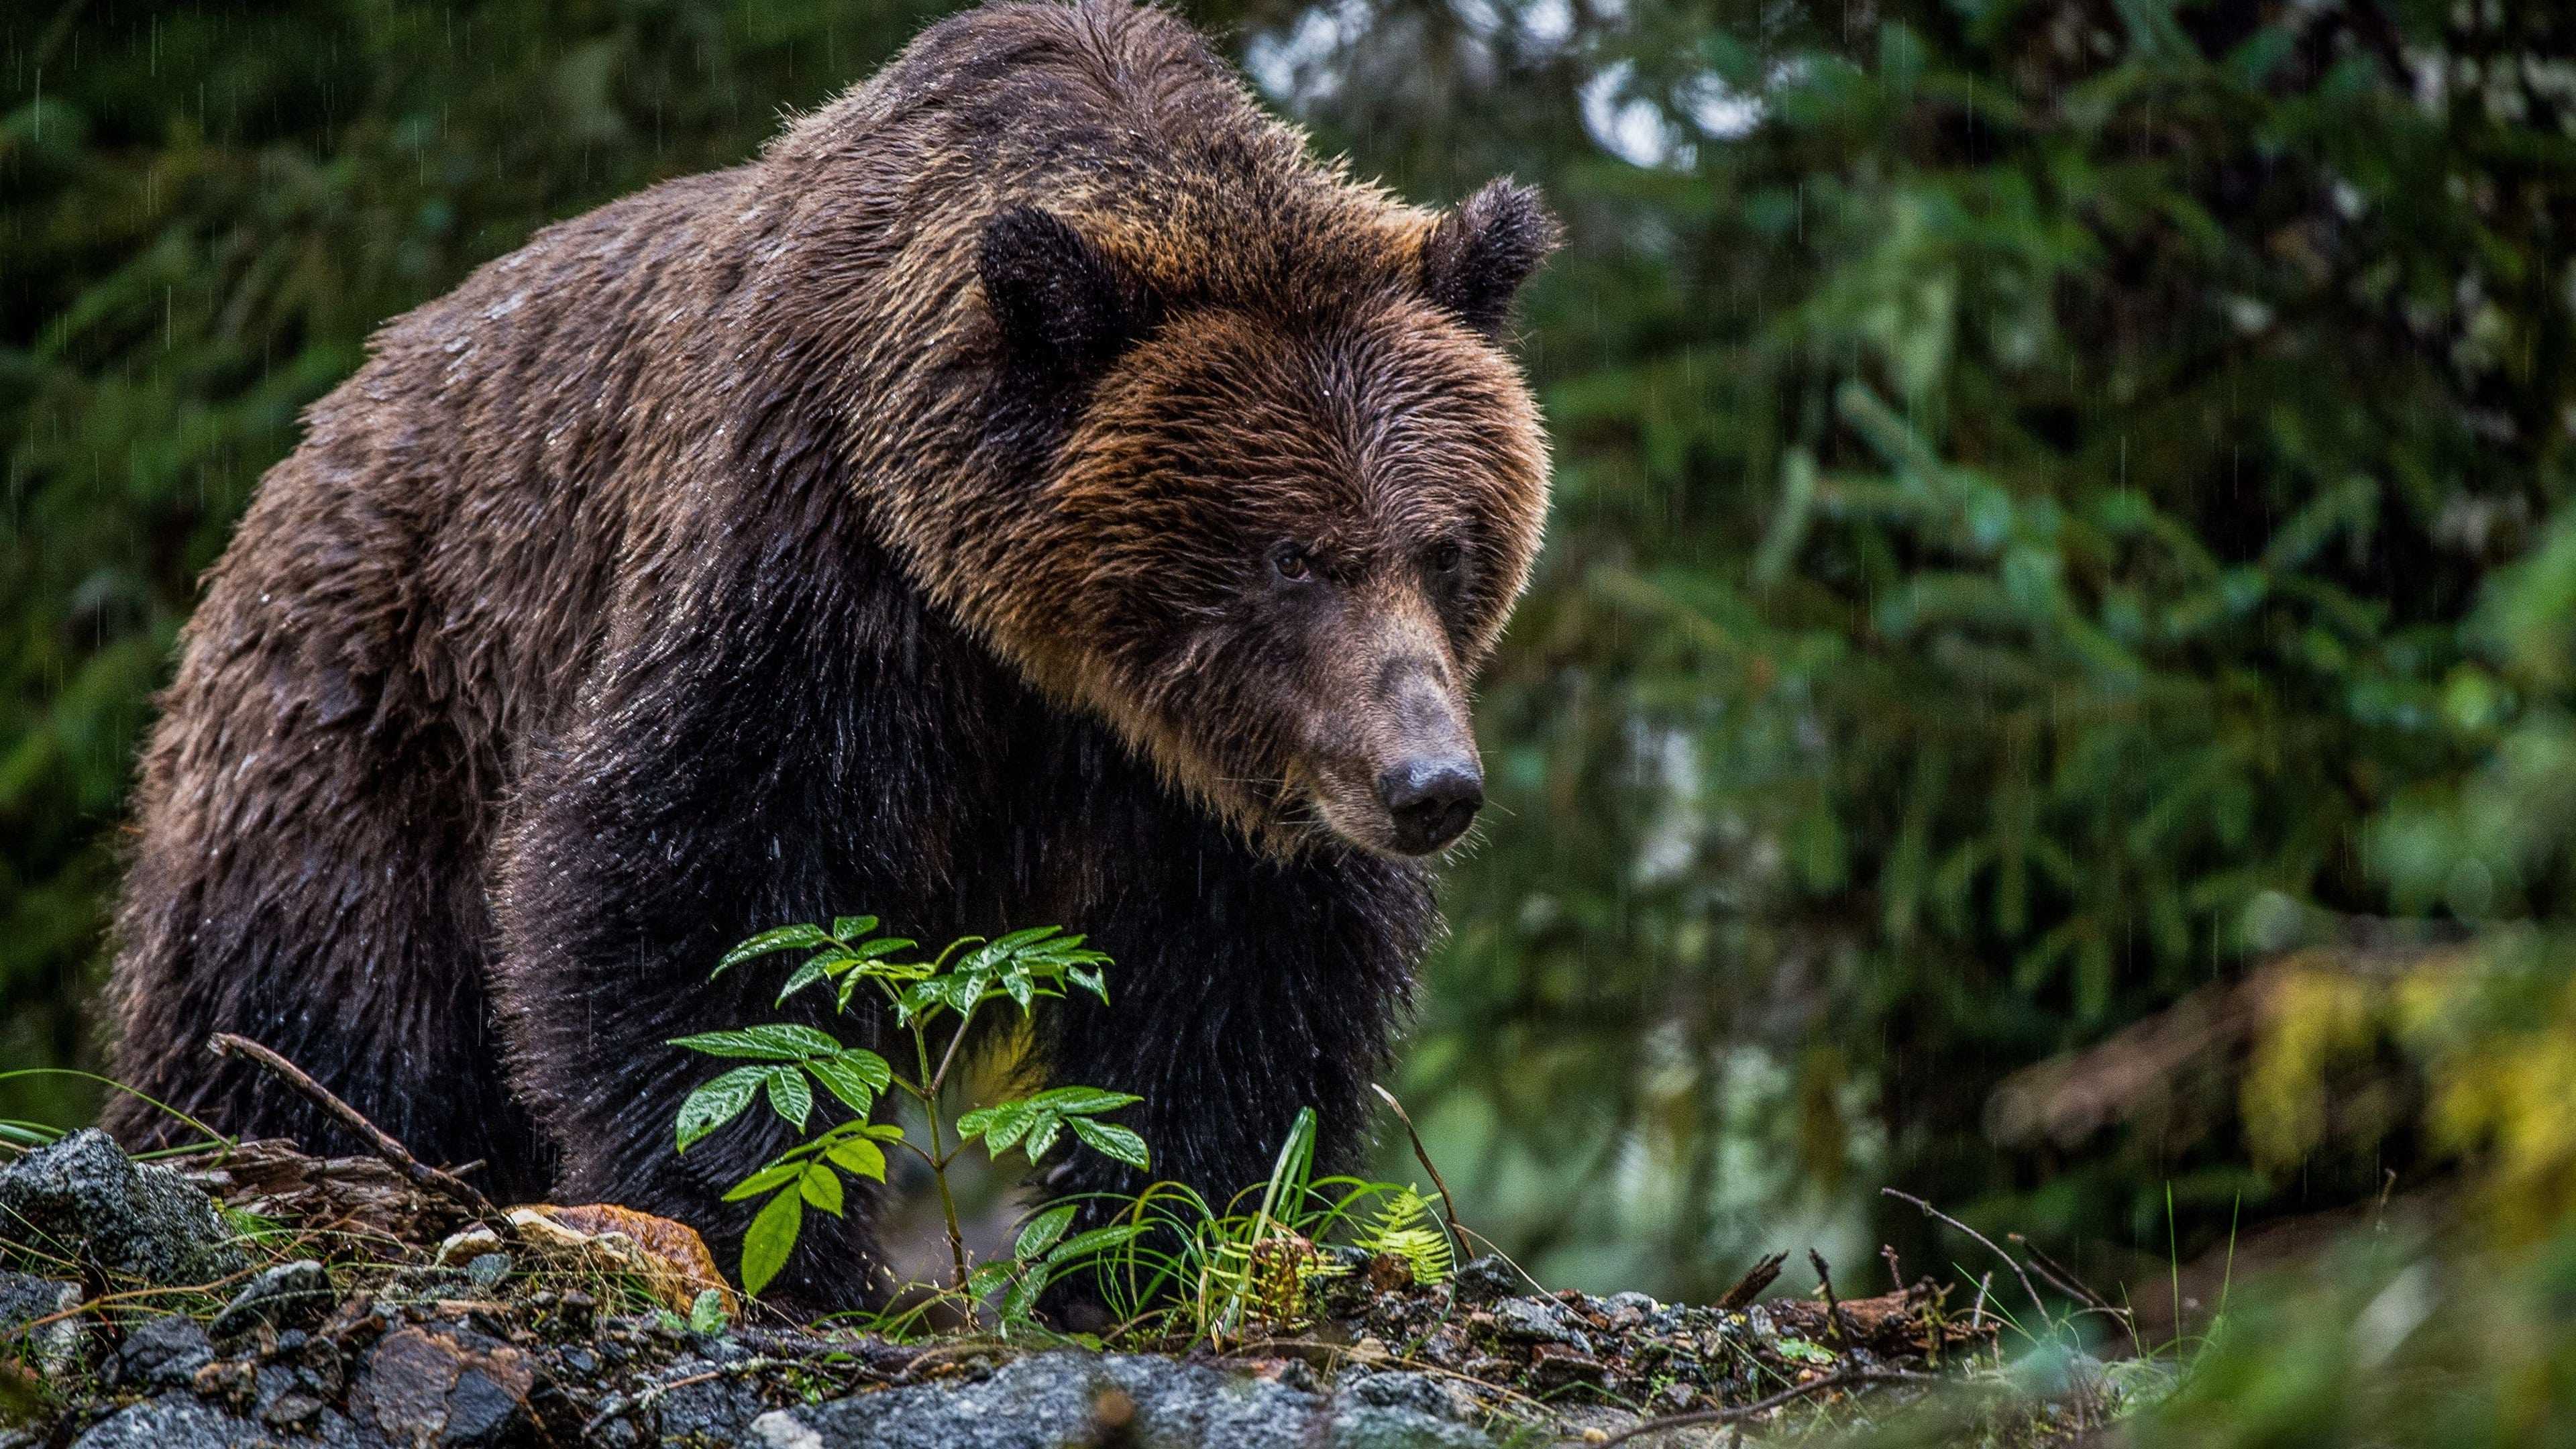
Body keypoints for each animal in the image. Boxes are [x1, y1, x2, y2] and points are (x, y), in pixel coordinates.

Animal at [103, 0, 1554, 1309]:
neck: (1032, 647)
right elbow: (691, 879)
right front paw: (773, 1233)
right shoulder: (808, 573)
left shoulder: (1199, 783)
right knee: (307, 989)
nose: (1429, 785)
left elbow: (1240, 989)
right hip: (371, 701)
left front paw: (1144, 1245)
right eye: (1289, 557)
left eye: (1444, 548)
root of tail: (320, 425)